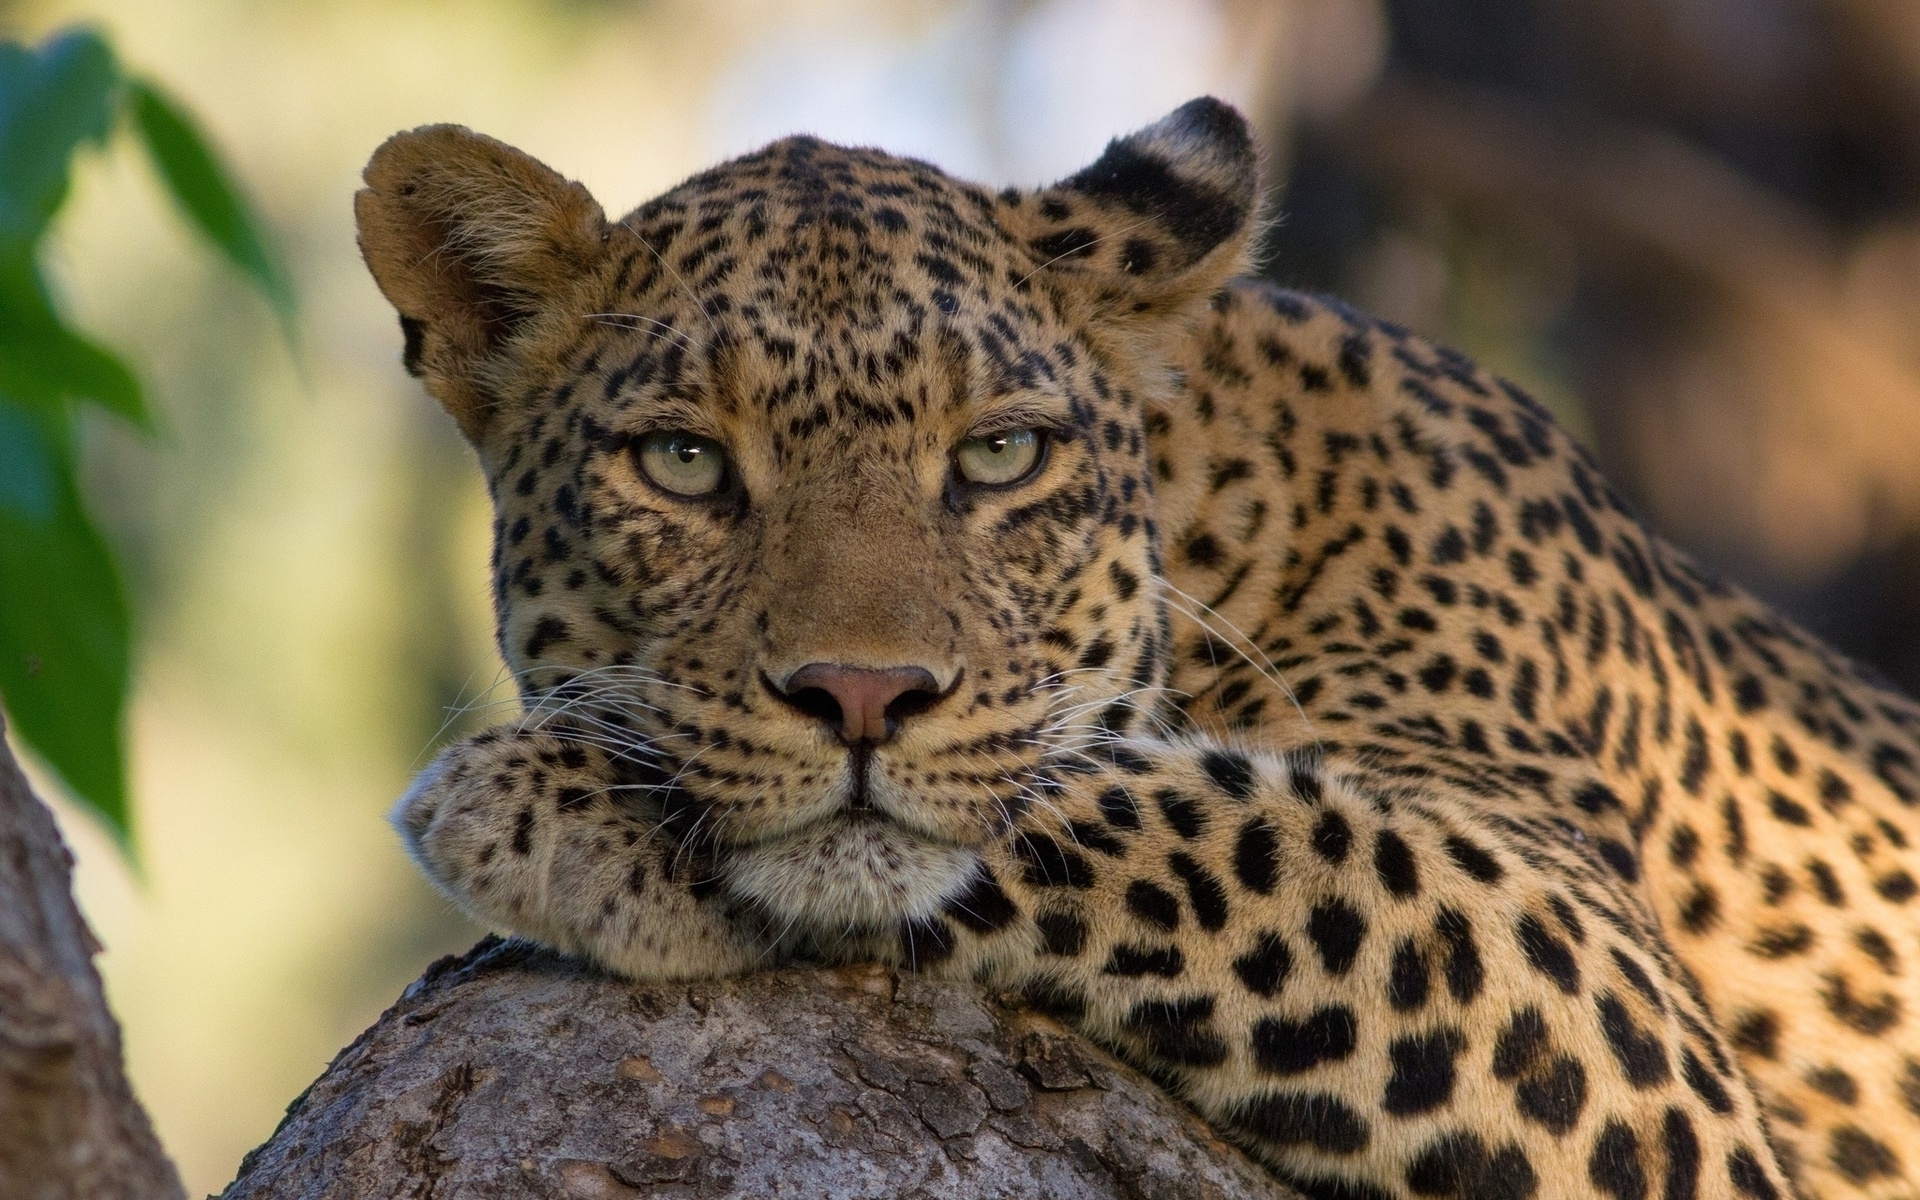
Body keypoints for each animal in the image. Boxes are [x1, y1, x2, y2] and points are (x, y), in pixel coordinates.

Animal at [353, 96, 1920, 1198]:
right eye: (682, 462)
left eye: (1000, 455)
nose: (859, 693)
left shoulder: (1619, 998)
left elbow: (1211, 825)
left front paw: (556, 807)